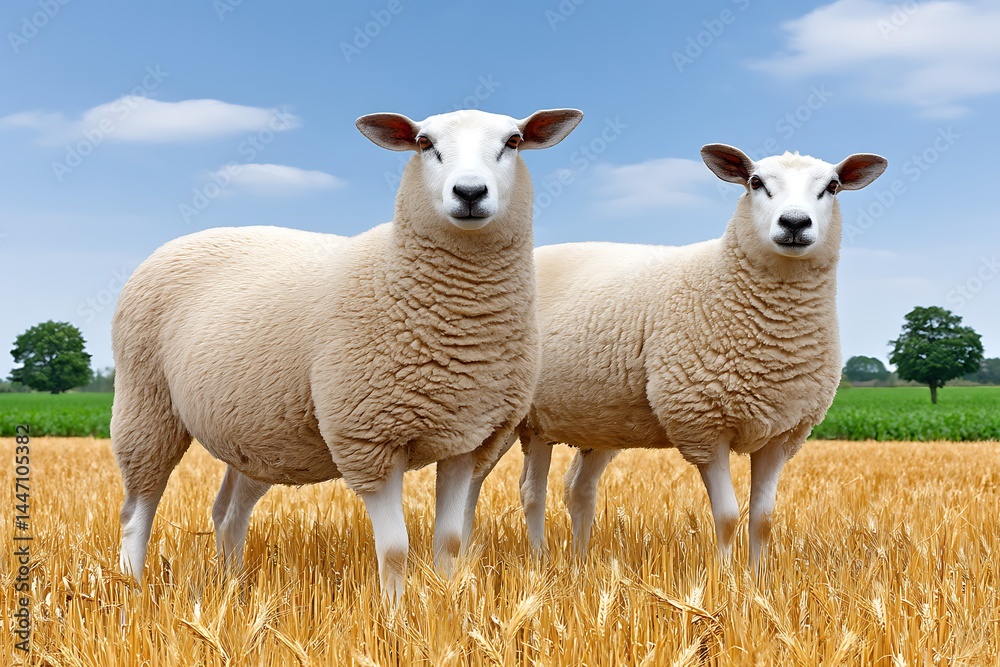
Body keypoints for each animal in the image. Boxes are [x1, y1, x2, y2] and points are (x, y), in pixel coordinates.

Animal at [111, 108, 583, 602]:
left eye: (513, 141)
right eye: (423, 143)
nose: (470, 192)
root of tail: (176, 242)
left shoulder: (467, 440)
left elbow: (450, 543)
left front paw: (446, 606)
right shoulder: (368, 439)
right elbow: (395, 549)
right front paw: (394, 615)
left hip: (255, 434)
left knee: (227, 513)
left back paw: (233, 590)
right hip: (146, 403)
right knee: (137, 509)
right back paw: (133, 588)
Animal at [513, 144, 887, 568]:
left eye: (833, 186)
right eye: (755, 182)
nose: (794, 222)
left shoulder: (782, 434)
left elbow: (763, 519)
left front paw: (759, 579)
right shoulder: (703, 427)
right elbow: (727, 517)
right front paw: (724, 580)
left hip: (597, 422)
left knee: (578, 488)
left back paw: (580, 564)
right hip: (531, 417)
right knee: (530, 491)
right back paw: (539, 562)